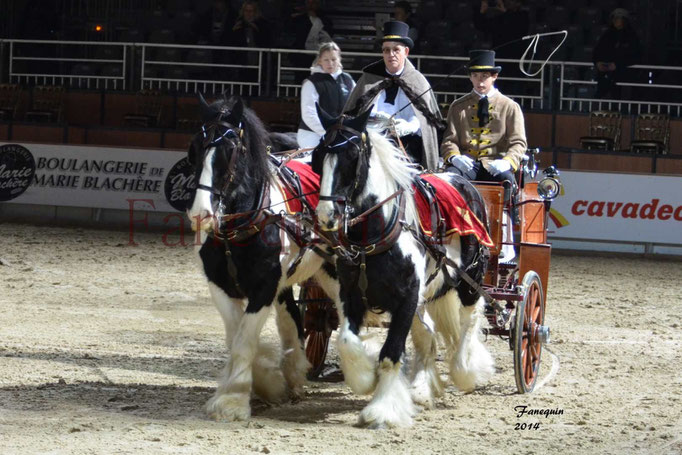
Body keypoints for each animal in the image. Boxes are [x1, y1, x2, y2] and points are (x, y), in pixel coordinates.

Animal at [186, 94, 338, 422]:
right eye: (195, 148)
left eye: (231, 151)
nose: (201, 213)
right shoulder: (220, 286)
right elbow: (236, 336)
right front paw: (265, 383)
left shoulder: (264, 287)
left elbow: (244, 340)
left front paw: (233, 400)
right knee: (292, 321)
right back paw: (294, 375)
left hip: (336, 271)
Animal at [310, 108, 494, 430]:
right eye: (319, 155)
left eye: (352, 155)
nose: (326, 215)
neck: (376, 235)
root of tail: (463, 181)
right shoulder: (351, 295)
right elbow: (346, 340)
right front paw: (365, 378)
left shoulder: (407, 298)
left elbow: (391, 353)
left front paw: (382, 410)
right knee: (428, 334)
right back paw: (421, 388)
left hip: (469, 278)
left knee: (470, 317)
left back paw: (464, 369)